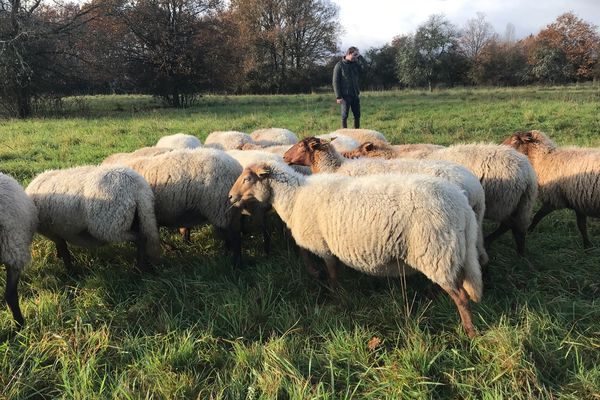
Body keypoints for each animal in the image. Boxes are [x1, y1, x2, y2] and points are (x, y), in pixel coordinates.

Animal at [26, 166, 162, 272]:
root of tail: (136, 187)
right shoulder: (57, 232)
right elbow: (61, 247)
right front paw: (59, 256)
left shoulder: (53, 231)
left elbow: (64, 249)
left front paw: (70, 270)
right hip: (140, 217)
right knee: (144, 237)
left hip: (111, 225)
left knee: (141, 239)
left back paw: (139, 269)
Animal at [229, 160, 482, 338]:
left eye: (248, 178)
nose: (230, 197)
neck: (295, 197)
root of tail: (461, 205)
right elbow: (309, 258)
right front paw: (319, 277)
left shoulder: (322, 243)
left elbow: (330, 272)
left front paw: (335, 297)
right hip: (446, 253)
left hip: (436, 250)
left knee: (460, 296)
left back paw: (469, 331)